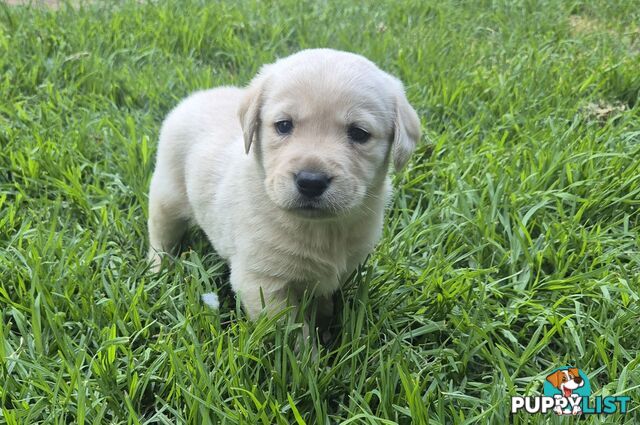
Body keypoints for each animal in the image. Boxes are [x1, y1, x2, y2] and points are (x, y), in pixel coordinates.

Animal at [148, 47, 422, 322]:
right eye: (283, 125)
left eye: (359, 133)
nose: (311, 182)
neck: (322, 229)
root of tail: (196, 96)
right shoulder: (262, 282)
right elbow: (288, 328)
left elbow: (320, 305)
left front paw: (325, 323)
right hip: (167, 192)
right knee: (160, 233)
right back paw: (157, 268)